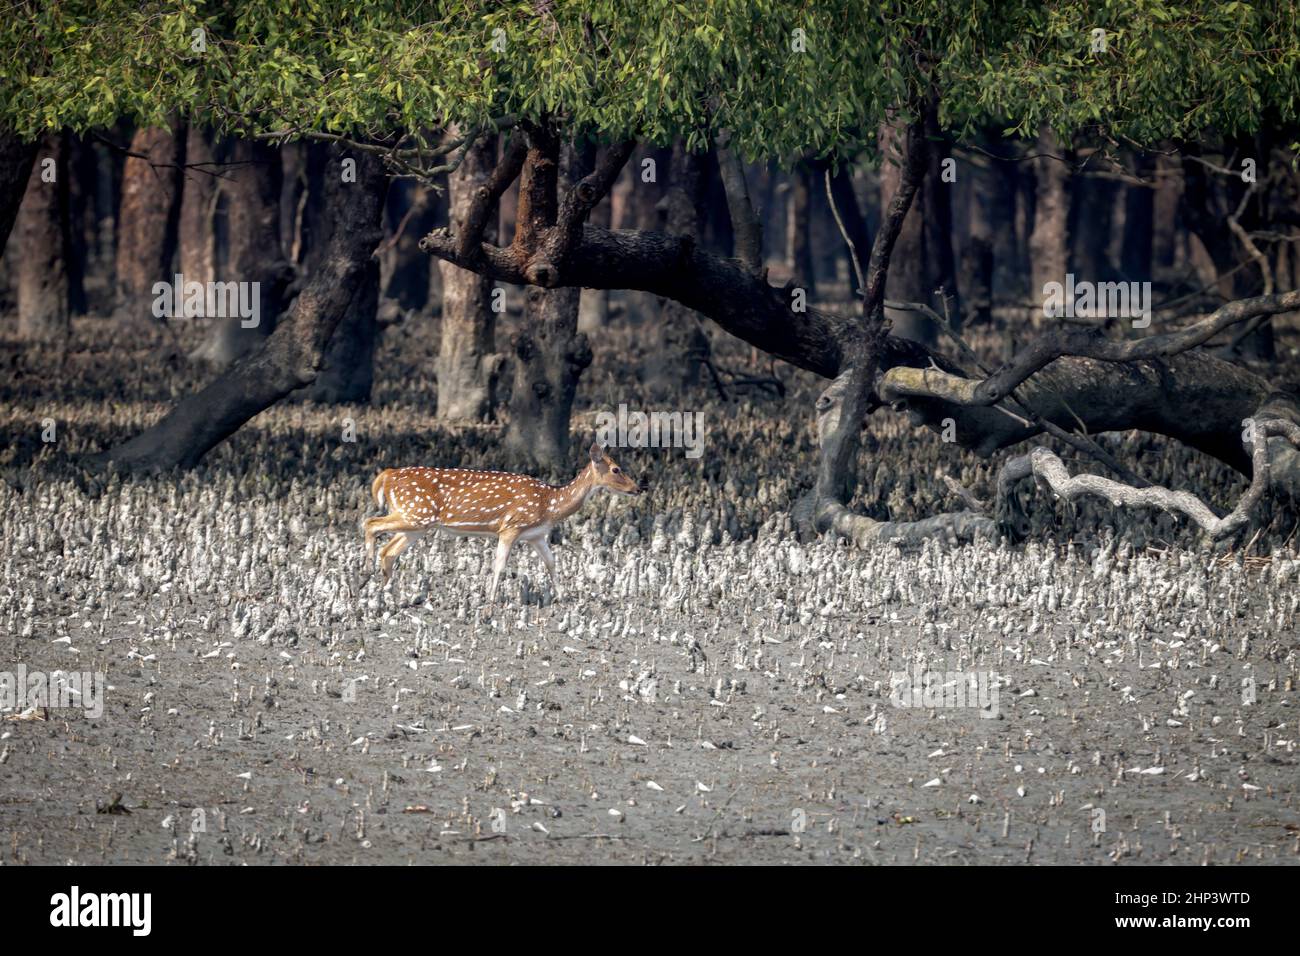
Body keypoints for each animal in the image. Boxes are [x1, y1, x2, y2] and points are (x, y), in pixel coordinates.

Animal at [364, 442, 643, 601]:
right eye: (616, 469)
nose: (638, 488)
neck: (550, 504)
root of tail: (387, 476)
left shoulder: (536, 535)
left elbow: (552, 563)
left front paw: (565, 599)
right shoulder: (511, 526)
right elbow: (499, 565)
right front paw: (489, 604)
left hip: (417, 522)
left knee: (389, 550)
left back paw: (386, 593)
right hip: (414, 513)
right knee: (370, 523)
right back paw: (367, 573)